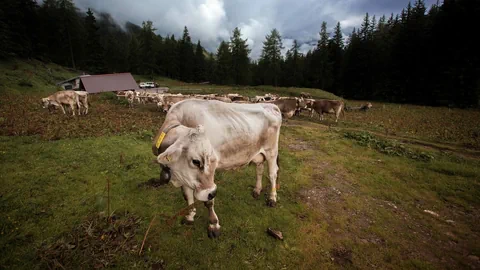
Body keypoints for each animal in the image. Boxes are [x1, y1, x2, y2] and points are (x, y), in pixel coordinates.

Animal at [152, 99, 284, 238]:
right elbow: (188, 196)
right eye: (196, 161)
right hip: (258, 153)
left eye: (212, 158)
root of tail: (271, 105)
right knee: (259, 169)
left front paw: (213, 225)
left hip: (271, 151)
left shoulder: (209, 181)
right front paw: (190, 216)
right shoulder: (184, 176)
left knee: (272, 174)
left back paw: (272, 198)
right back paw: (257, 190)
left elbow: (209, 201)